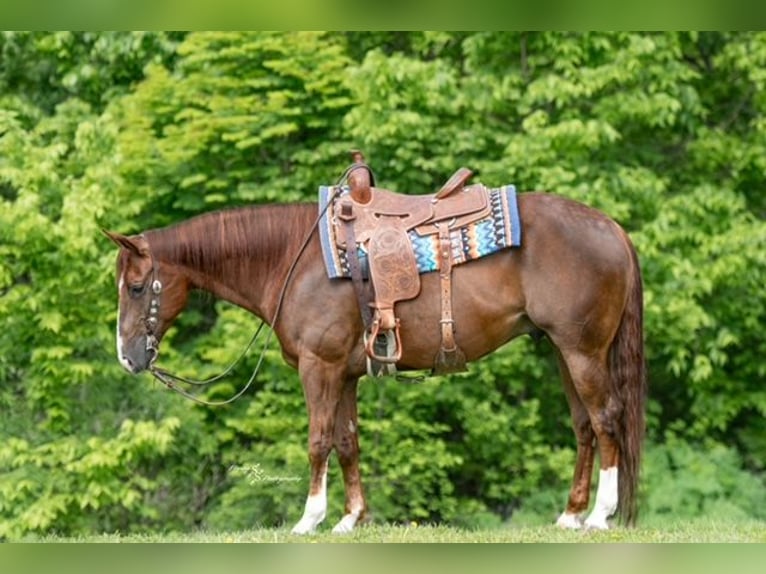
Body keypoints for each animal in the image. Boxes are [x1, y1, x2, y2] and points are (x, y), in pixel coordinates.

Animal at [103, 187, 646, 534]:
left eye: (137, 287)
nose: (128, 358)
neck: (292, 260)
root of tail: (613, 228)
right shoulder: (343, 373)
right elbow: (347, 441)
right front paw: (351, 518)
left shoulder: (318, 367)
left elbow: (318, 440)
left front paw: (309, 519)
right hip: (562, 351)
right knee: (583, 426)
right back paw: (572, 513)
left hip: (582, 351)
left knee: (606, 419)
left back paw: (600, 515)